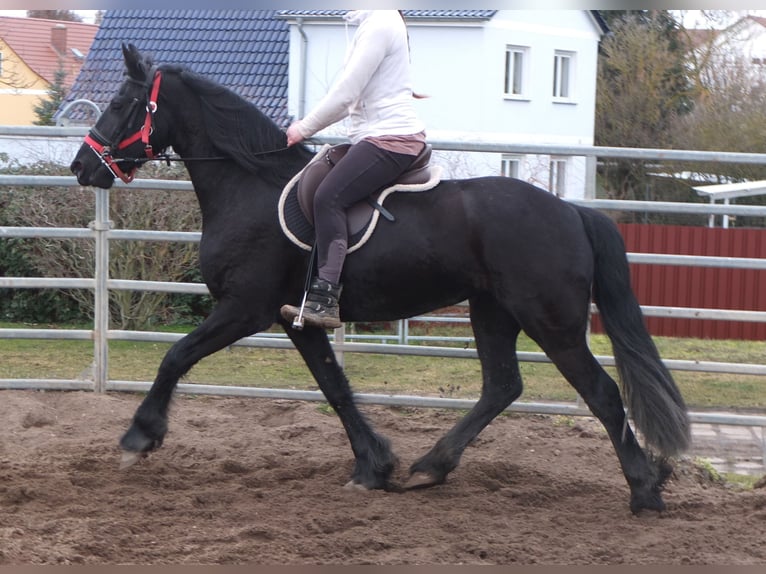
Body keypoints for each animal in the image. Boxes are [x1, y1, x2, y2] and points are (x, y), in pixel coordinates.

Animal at [70, 44, 688, 512]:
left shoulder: (244, 308)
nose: (81, 166)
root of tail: (571, 211)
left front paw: (139, 436)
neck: (250, 187)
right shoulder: (296, 319)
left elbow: (176, 356)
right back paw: (429, 467)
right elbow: (335, 387)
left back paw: (644, 492)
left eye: (122, 103)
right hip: (493, 312)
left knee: (602, 394)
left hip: (550, 322)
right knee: (502, 386)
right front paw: (375, 466)